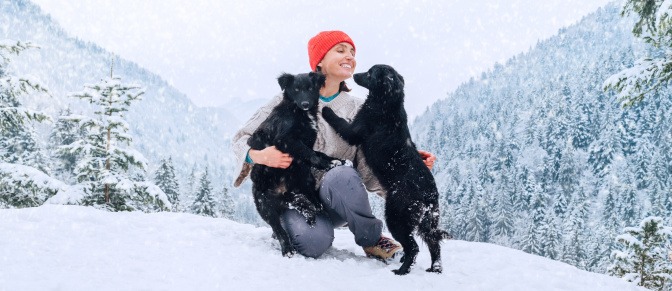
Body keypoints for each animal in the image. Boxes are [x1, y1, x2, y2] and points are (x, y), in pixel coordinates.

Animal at [247, 72, 342, 258]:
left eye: (310, 88)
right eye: (296, 89)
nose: (305, 104)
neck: (298, 113)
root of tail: (281, 194)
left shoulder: (307, 144)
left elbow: (317, 153)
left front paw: (334, 161)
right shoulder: (286, 140)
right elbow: (310, 154)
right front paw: (326, 164)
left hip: (297, 183)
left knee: (302, 198)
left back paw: (314, 207)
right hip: (265, 205)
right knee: (278, 229)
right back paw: (288, 249)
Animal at [322, 64, 452, 276]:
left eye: (369, 73)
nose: (354, 74)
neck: (387, 103)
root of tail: (429, 194)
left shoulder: (355, 130)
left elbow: (340, 122)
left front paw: (326, 110)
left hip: (397, 216)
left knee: (413, 247)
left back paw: (402, 270)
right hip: (428, 220)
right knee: (433, 242)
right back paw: (435, 269)